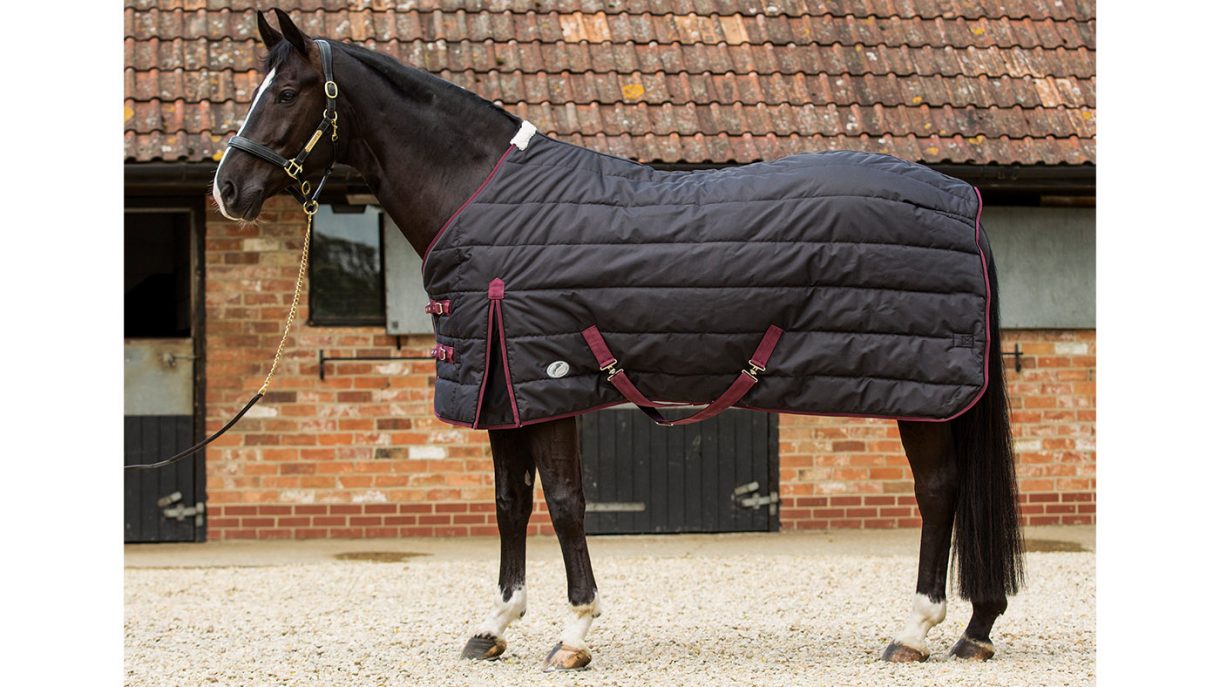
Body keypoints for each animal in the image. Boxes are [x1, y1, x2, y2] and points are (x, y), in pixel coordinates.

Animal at [212, 9, 1023, 671]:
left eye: (286, 93)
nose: (227, 188)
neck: (478, 196)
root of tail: (964, 201)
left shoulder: (550, 378)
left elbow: (566, 503)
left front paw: (574, 633)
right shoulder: (503, 389)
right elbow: (510, 503)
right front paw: (495, 625)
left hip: (922, 394)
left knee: (938, 492)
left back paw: (916, 630)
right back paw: (975, 628)